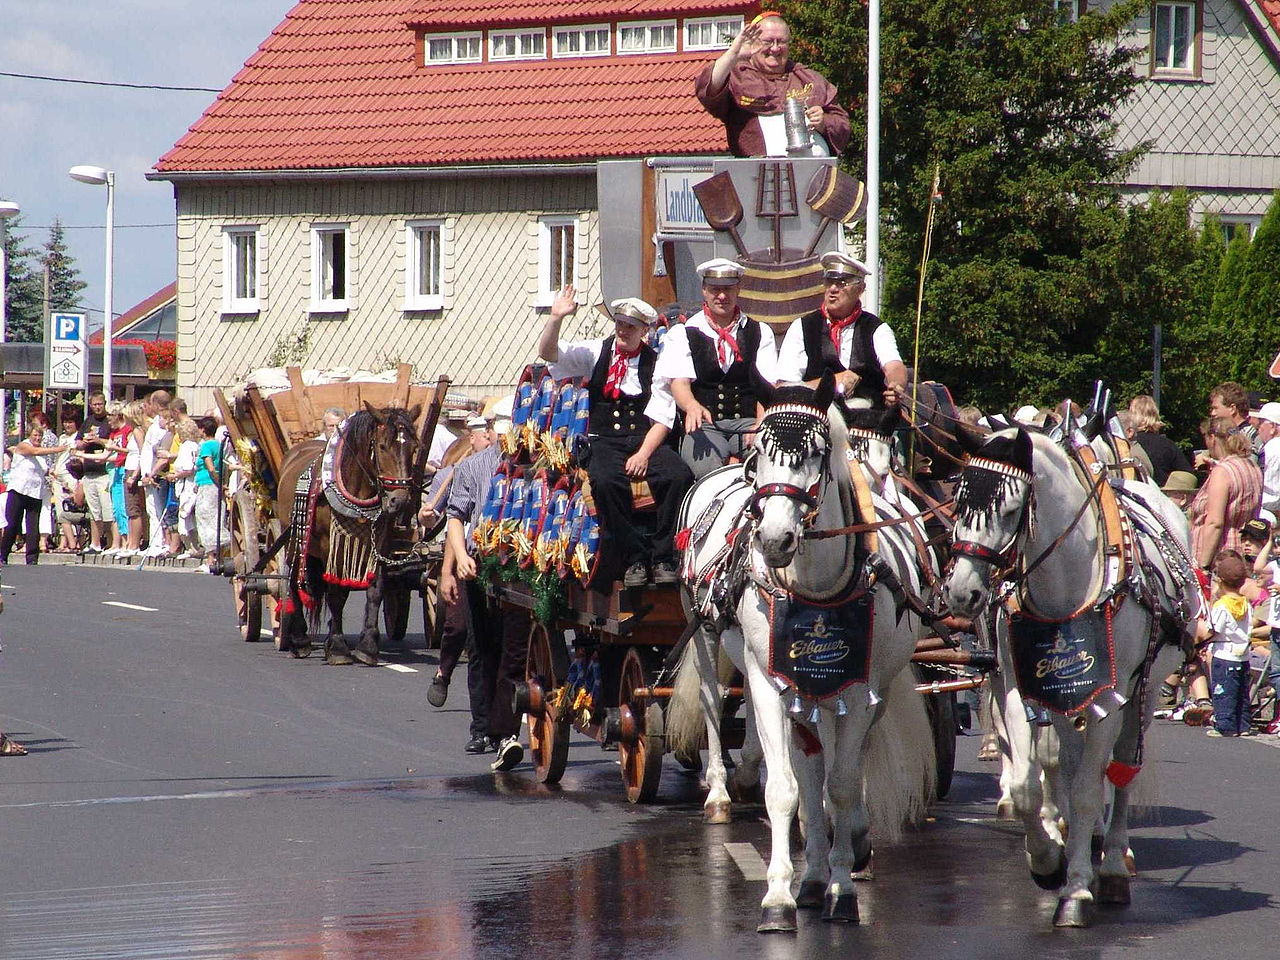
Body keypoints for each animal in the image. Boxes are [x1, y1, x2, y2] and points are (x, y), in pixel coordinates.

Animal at [275, 401, 419, 665]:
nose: (400, 501)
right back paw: (299, 640)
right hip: (293, 539)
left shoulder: (380, 545)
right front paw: (339, 648)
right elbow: (335, 592)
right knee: (292, 578)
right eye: (382, 446)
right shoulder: (330, 546)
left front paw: (367, 646)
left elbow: (375, 590)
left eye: (413, 448)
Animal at [670, 378, 931, 936]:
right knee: (714, 701)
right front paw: (776, 897)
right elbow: (784, 789)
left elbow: (842, 785)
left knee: (821, 767)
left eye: (815, 454)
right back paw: (723, 793)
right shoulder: (772, 684)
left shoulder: (856, 691)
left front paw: (842, 883)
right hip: (707, 636)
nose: (774, 540)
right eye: (761, 459)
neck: (817, 589)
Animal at [942, 427, 1198, 926]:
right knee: (1067, 760)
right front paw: (1047, 862)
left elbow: (1085, 792)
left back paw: (1113, 865)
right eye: (959, 500)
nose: (962, 592)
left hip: (1142, 694)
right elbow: (1028, 781)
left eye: (1009, 508)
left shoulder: (1111, 697)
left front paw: (1076, 889)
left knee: (1121, 771)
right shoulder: (1021, 687)